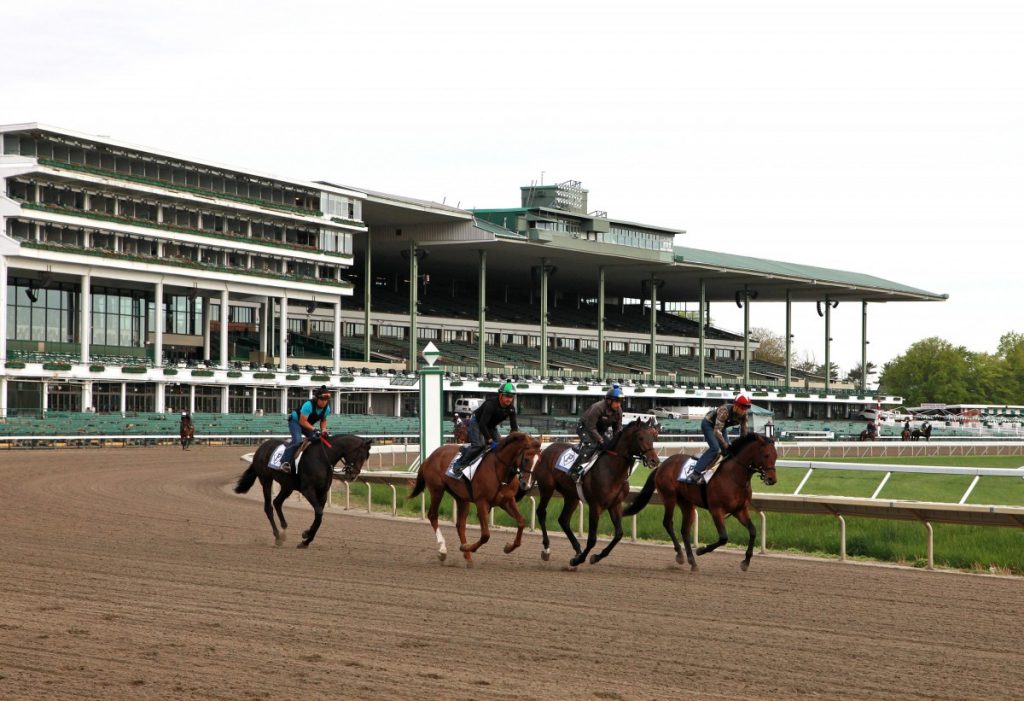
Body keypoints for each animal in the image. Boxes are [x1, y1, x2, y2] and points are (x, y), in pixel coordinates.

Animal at [407, 429, 544, 564]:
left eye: (539, 461)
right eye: (526, 459)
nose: (526, 484)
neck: (499, 470)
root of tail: (429, 457)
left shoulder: (507, 501)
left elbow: (521, 521)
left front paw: (508, 547)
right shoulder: (482, 503)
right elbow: (485, 535)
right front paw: (467, 547)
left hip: (461, 498)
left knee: (460, 525)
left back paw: (468, 557)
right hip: (437, 490)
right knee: (433, 516)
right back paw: (442, 550)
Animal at [532, 417, 659, 564]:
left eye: (653, 437)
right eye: (640, 437)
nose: (655, 460)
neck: (612, 470)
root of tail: (546, 449)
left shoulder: (615, 505)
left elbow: (619, 534)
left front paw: (596, 557)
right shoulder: (595, 506)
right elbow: (592, 539)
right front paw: (579, 560)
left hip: (571, 496)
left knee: (563, 519)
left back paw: (577, 549)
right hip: (547, 488)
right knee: (541, 512)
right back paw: (547, 549)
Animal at [622, 431, 774, 573]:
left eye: (775, 455)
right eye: (766, 455)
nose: (772, 479)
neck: (733, 476)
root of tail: (662, 465)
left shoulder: (739, 510)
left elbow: (753, 531)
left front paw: (746, 562)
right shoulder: (716, 510)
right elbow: (723, 537)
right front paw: (701, 550)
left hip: (687, 503)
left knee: (685, 530)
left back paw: (692, 562)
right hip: (669, 496)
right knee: (668, 523)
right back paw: (680, 554)